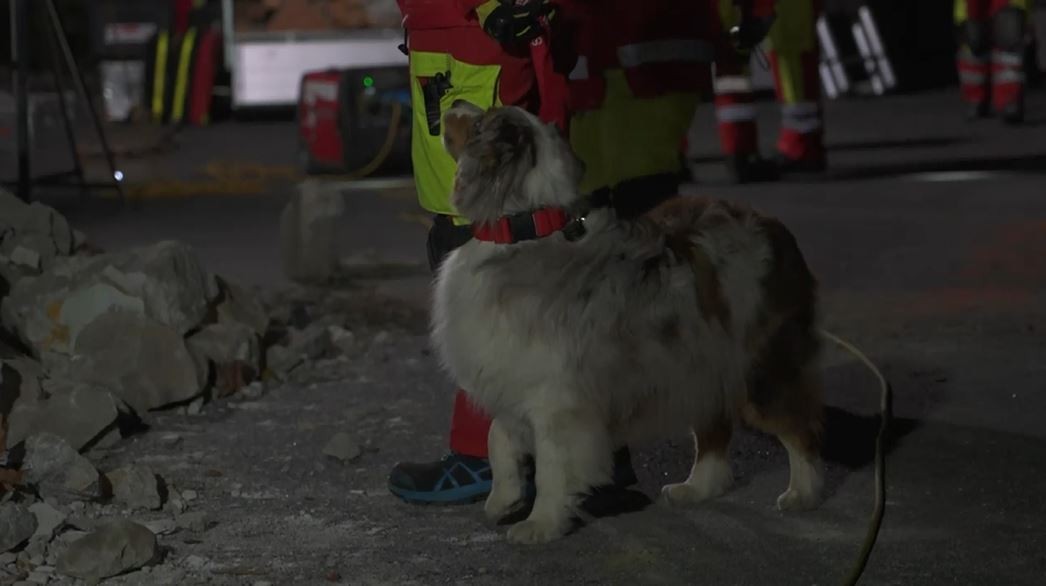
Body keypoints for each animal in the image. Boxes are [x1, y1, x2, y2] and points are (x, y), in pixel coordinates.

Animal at [428, 102, 820, 544]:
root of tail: (776, 227)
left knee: (799, 427)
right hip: (700, 364)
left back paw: (803, 493)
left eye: (479, 121)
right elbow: (499, 436)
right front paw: (504, 500)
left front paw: (541, 524)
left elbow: (551, 467)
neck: (523, 230)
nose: (452, 103)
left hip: (758, 367)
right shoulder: (510, 375)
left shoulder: (557, 401)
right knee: (714, 429)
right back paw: (697, 487)